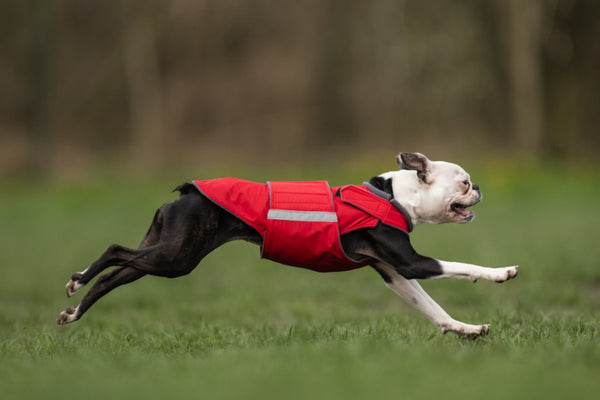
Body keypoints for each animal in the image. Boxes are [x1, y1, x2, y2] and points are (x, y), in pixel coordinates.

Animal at [58, 153, 516, 338]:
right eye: (463, 183)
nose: (479, 188)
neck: (393, 196)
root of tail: (187, 192)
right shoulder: (412, 264)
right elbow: (463, 267)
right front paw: (500, 273)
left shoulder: (395, 274)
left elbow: (433, 309)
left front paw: (466, 329)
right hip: (176, 256)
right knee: (115, 251)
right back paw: (77, 280)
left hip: (166, 250)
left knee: (116, 275)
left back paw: (74, 310)